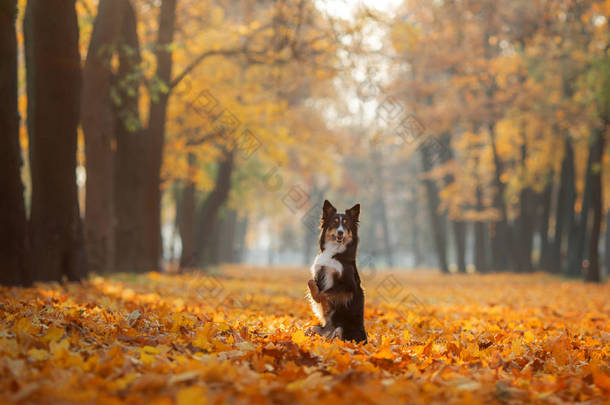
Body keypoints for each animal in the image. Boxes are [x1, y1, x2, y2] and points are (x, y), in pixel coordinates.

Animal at [306, 200, 364, 342]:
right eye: (334, 222)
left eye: (346, 224)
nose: (340, 232)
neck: (335, 252)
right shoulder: (318, 274)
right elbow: (311, 283)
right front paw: (322, 304)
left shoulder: (349, 286)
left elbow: (325, 293)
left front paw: (325, 305)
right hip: (315, 328)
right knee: (311, 330)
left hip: (342, 329)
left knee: (337, 336)